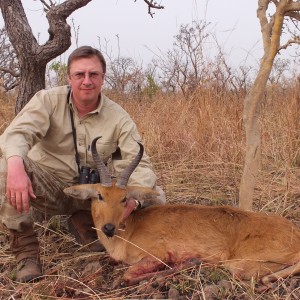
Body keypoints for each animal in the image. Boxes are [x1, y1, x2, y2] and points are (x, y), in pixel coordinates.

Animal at [64, 137, 300, 284]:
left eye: (125, 199)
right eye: (99, 195)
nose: (109, 228)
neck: (129, 231)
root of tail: (295, 232)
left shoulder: (156, 255)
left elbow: (128, 275)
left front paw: (186, 263)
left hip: (239, 265)